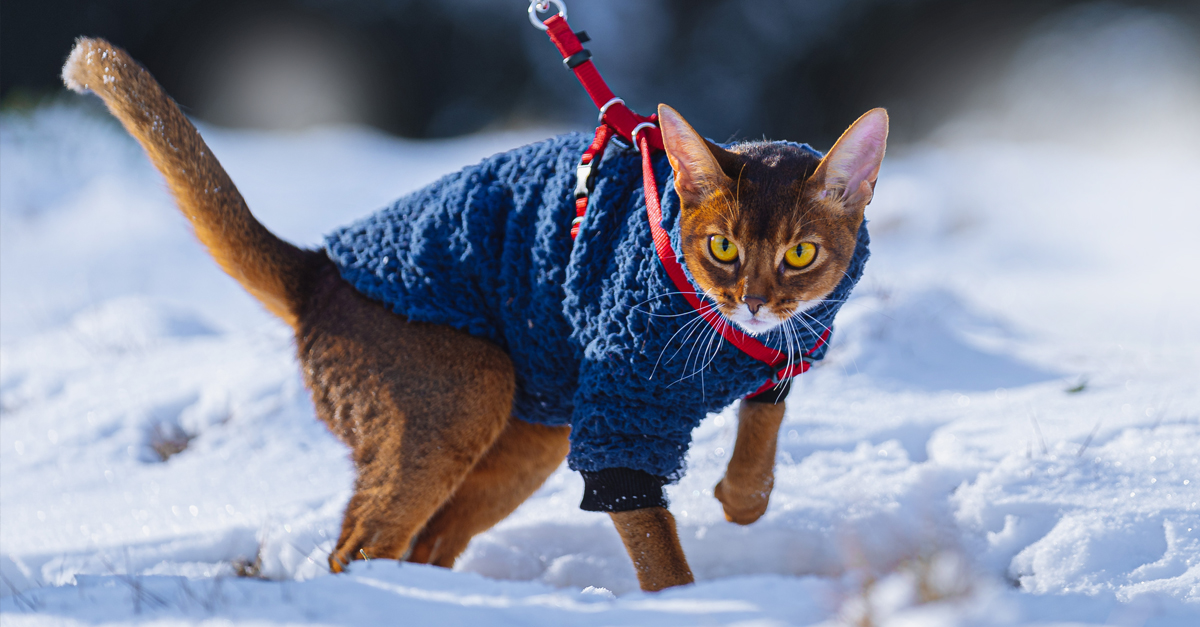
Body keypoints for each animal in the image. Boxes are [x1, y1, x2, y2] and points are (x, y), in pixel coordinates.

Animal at [65, 36, 888, 588]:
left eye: (800, 254)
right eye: (720, 246)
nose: (754, 300)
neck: (721, 339)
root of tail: (316, 272)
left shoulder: (774, 357)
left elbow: (764, 424)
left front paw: (742, 497)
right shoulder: (619, 411)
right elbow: (658, 548)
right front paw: (683, 602)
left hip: (527, 436)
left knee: (420, 541)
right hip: (467, 393)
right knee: (357, 545)